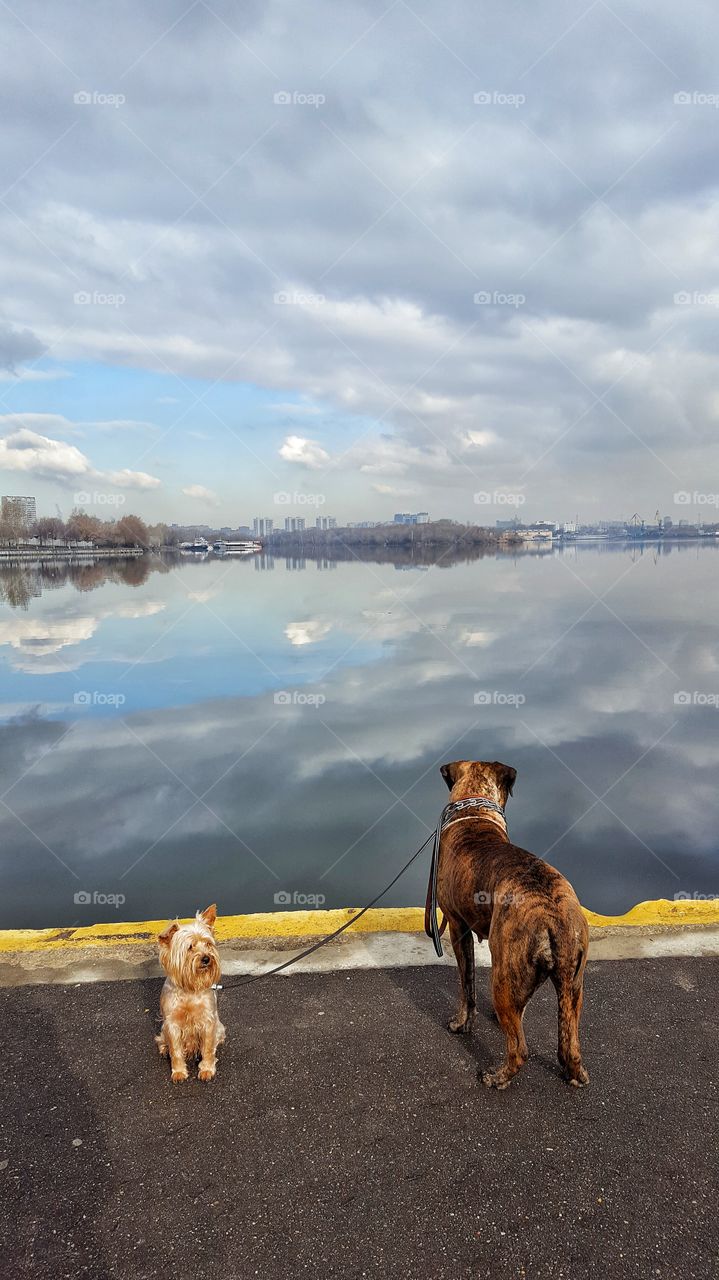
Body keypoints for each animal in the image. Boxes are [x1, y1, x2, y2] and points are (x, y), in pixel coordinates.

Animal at [156, 901, 223, 1080]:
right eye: (190, 947)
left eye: (207, 943)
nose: (206, 958)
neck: (190, 988)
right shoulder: (171, 1023)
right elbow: (176, 1050)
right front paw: (178, 1072)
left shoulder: (208, 1020)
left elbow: (208, 1047)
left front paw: (207, 1069)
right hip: (163, 1029)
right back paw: (164, 1048)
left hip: (220, 1027)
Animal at [424, 752, 588, 1095]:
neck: (474, 813)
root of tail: (553, 915)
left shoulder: (458, 928)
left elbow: (467, 986)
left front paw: (462, 1023)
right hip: (573, 986)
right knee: (569, 1045)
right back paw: (573, 1072)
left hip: (502, 976)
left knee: (520, 1049)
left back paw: (497, 1077)